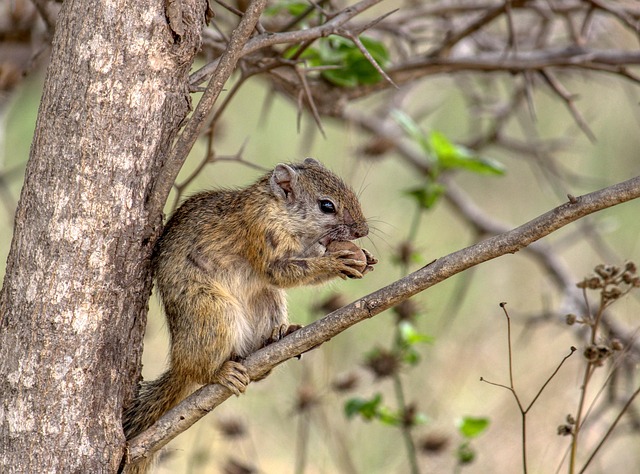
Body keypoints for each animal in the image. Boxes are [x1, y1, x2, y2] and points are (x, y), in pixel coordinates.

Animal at [122, 158, 376, 472]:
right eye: (326, 206)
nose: (362, 230)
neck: (280, 212)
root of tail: (180, 362)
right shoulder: (259, 233)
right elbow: (281, 272)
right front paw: (334, 262)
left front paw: (364, 258)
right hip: (211, 312)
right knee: (200, 369)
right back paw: (221, 372)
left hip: (267, 303)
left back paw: (277, 338)